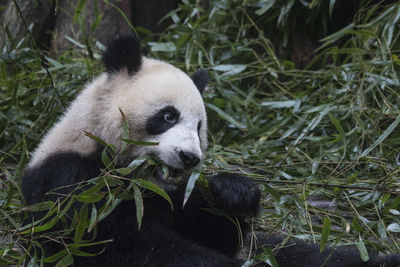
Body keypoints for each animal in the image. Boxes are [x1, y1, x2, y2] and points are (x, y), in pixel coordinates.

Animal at [21, 36, 400, 267]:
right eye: (168, 116)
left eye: (200, 126)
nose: (191, 158)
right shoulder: (71, 181)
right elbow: (114, 243)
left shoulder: (173, 196)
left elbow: (214, 227)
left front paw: (233, 192)